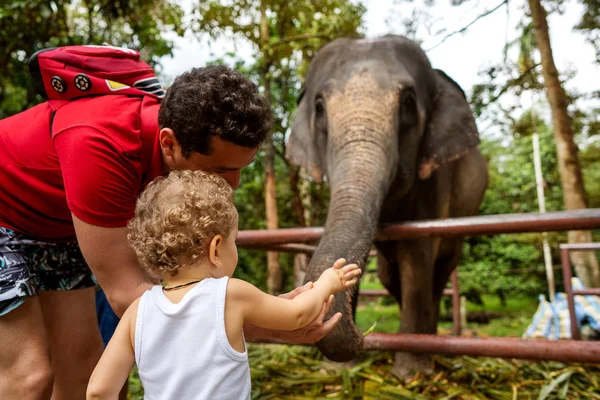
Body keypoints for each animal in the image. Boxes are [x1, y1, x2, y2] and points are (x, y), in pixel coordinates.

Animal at [288, 35, 490, 378]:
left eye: (408, 101)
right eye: (319, 108)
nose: (363, 336)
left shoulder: (433, 181)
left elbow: (417, 257)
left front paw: (411, 374)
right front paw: (337, 371)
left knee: (438, 272)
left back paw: (429, 345)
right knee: (388, 276)